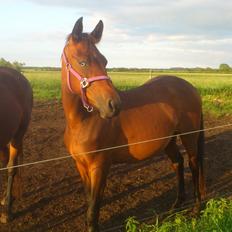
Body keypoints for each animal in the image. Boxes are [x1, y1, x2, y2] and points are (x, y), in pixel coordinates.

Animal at [60, 17, 206, 231]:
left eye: (104, 60)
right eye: (83, 62)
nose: (114, 105)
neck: (83, 122)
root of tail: (191, 88)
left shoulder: (100, 167)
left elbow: (93, 209)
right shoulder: (81, 166)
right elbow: (89, 203)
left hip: (189, 136)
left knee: (194, 164)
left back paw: (196, 209)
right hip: (169, 140)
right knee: (178, 163)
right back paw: (176, 206)